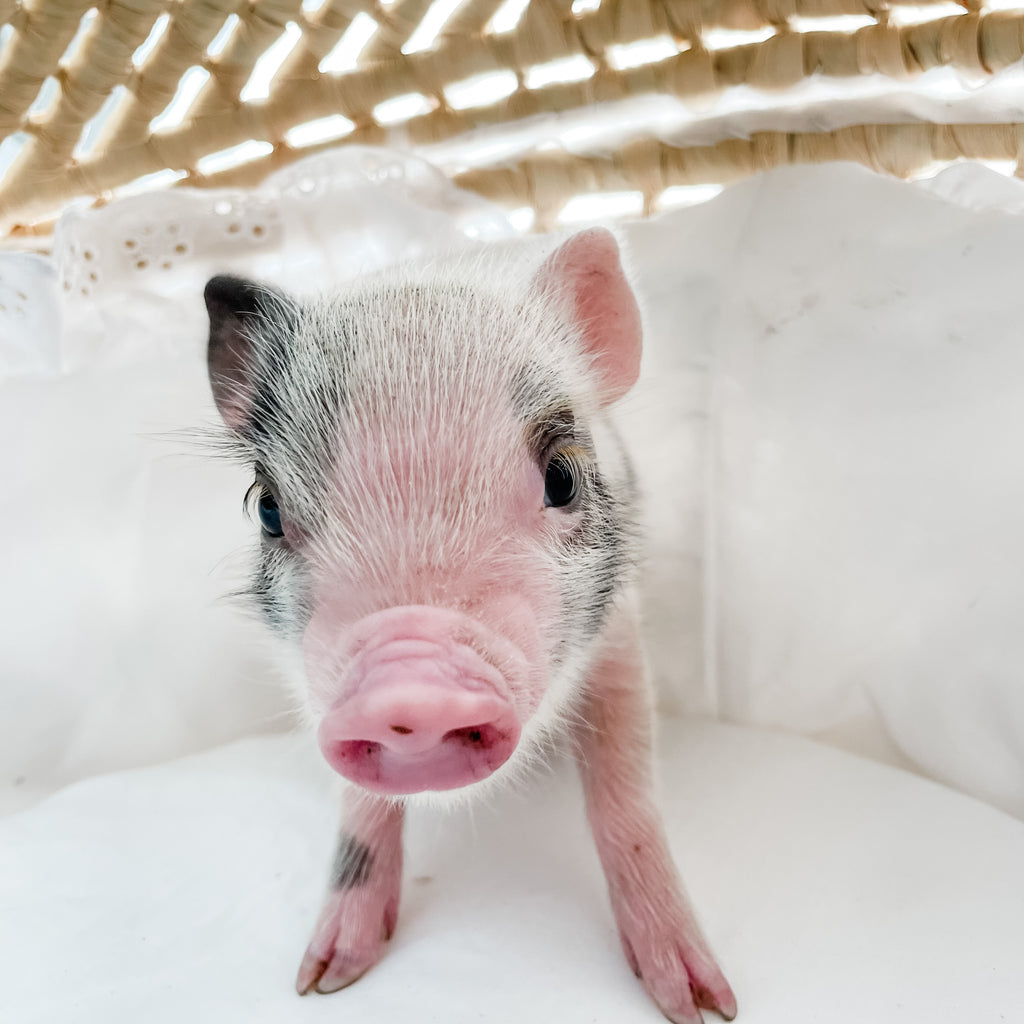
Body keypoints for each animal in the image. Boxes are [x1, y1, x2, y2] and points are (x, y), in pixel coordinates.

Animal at [203, 228, 736, 1024]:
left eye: (563, 477)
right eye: (267, 507)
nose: (409, 682)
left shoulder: (617, 632)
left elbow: (625, 792)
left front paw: (703, 1005)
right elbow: (360, 812)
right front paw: (321, 981)